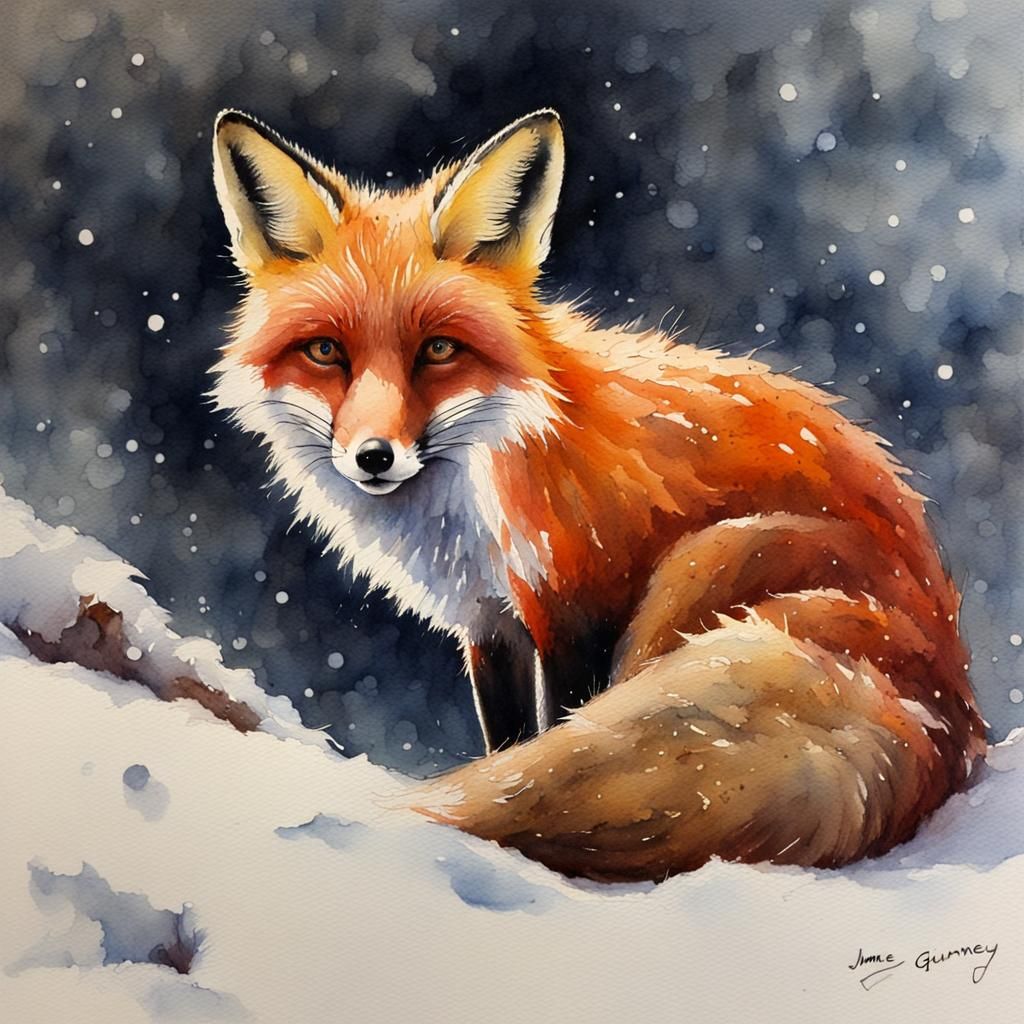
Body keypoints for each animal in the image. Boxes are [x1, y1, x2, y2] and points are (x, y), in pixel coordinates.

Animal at [210, 108, 985, 883]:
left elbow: (550, 733)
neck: (480, 482)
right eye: (325, 352)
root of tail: (947, 720)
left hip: (700, 569)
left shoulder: (574, 606)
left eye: (438, 350)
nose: (374, 456)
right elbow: (508, 743)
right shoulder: (488, 623)